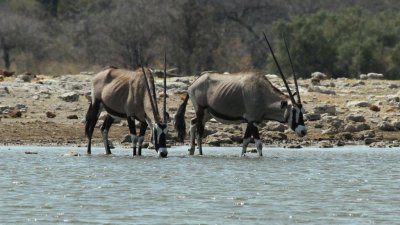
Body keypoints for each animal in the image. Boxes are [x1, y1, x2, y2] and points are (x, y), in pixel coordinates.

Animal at [174, 34, 306, 156]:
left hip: (208, 114)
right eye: (294, 111)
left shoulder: (250, 121)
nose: (303, 131)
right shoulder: (253, 121)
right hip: (201, 110)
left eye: (302, 111)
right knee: (199, 132)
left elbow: (245, 142)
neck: (263, 94)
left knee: (193, 123)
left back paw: (191, 150)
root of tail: (193, 84)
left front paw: (243, 156)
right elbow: (258, 144)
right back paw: (200, 154)